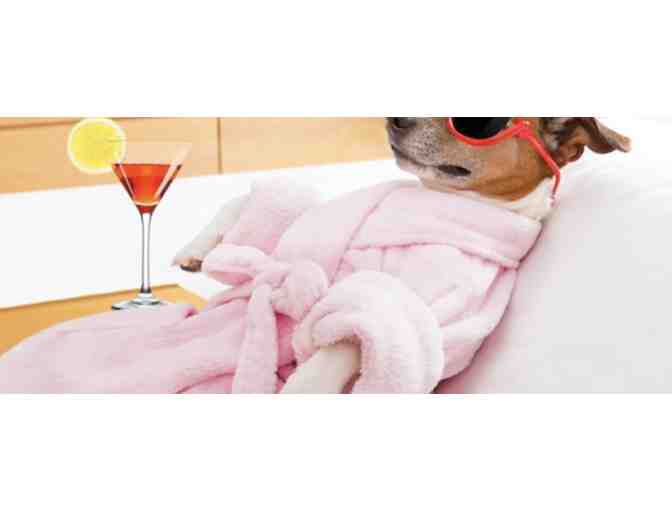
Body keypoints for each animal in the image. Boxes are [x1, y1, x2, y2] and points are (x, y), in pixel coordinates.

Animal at [174, 118, 630, 393]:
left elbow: (340, 347)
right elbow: (248, 205)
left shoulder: (409, 306)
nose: (396, 118)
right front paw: (195, 249)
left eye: (477, 122)